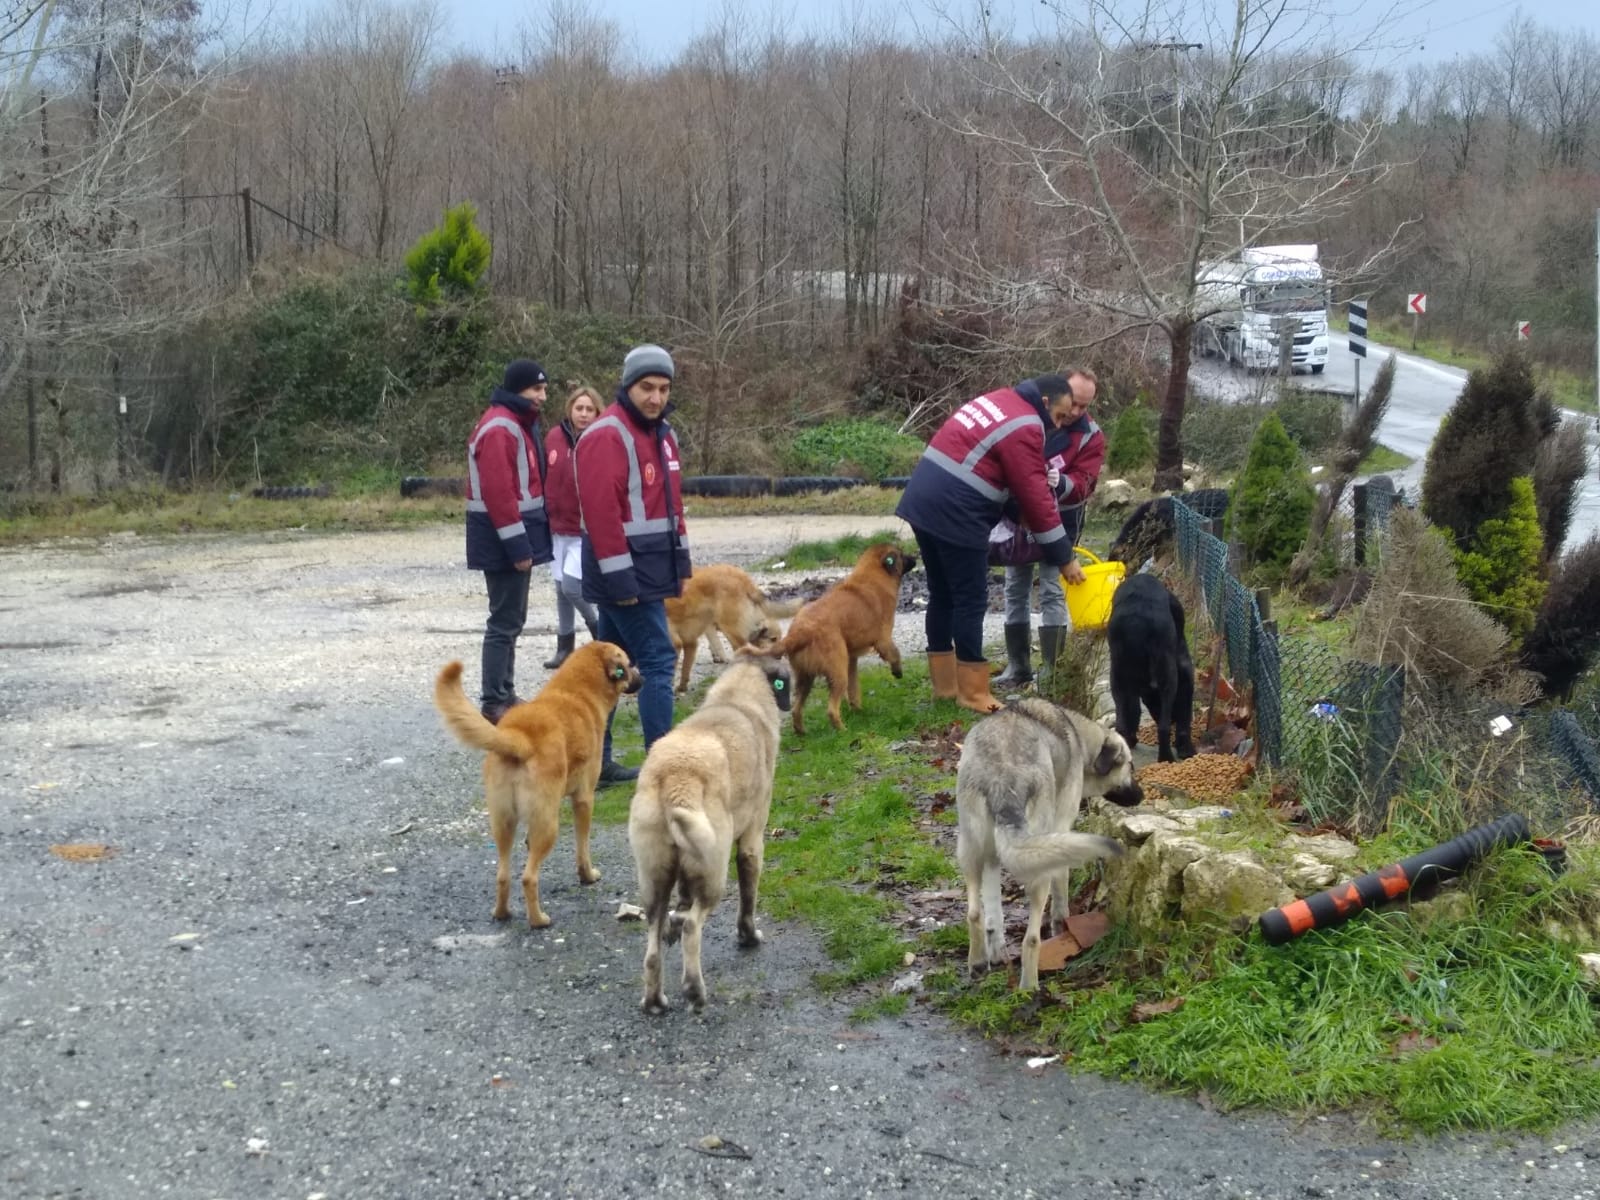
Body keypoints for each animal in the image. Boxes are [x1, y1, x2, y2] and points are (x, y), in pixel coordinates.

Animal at [438, 640, 643, 928]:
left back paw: (502, 913)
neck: (578, 691)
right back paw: (538, 920)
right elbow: (583, 848)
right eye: (627, 662)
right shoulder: (584, 799)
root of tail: (519, 738)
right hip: (548, 826)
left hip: (504, 823)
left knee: (503, 875)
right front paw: (587, 876)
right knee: (528, 877)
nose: (642, 677)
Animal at [630, 649, 793, 1017]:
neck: (737, 700)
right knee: (694, 926)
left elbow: (681, 901)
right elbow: (748, 898)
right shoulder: (752, 842)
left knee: (652, 944)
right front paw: (749, 937)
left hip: (655, 879)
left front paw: (675, 921)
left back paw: (654, 1000)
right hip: (715, 871)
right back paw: (694, 991)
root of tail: (677, 778)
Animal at [662, 563, 800, 694]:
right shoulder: (692, 639)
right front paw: (681, 687)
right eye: (773, 639)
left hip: (730, 630)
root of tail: (742, 577)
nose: (781, 655)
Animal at [771, 544, 915, 732]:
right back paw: (842, 730)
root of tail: (800, 632)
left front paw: (857, 709)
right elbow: (895, 654)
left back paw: (801, 731)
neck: (874, 575)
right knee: (831, 709)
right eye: (901, 554)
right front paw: (897, 671)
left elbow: (854, 689)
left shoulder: (851, 659)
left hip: (806, 676)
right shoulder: (883, 640)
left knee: (796, 709)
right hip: (837, 672)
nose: (916, 558)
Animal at [1107, 579, 1196, 764]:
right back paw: (1166, 758)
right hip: (1168, 679)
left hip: (1118, 677)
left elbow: (1133, 711)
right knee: (1163, 725)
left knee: (1124, 720)